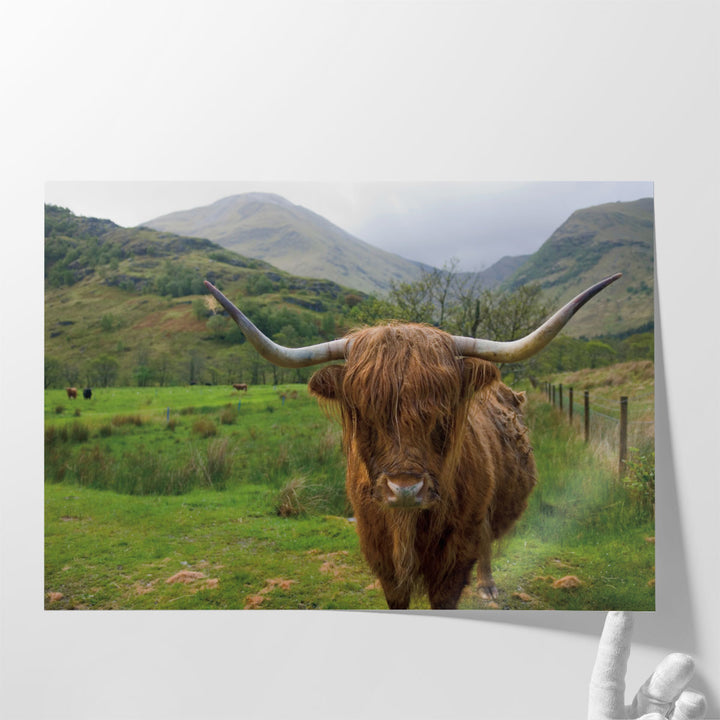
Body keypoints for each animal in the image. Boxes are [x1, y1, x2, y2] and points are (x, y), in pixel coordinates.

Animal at [204, 274, 621, 609]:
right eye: (363, 411)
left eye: (443, 411)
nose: (405, 489)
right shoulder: (382, 558)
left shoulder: (453, 562)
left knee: (486, 540)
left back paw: (488, 587)